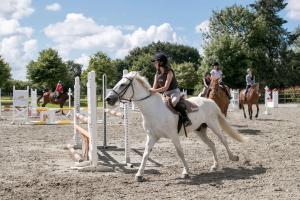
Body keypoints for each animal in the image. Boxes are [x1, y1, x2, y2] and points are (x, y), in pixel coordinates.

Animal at [106, 71, 248, 181]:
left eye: (122, 84)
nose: (108, 99)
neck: (153, 109)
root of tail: (210, 101)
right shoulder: (152, 137)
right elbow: (146, 154)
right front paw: (139, 175)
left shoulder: (173, 136)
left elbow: (180, 152)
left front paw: (186, 172)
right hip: (200, 131)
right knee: (212, 145)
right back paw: (215, 166)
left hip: (213, 125)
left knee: (223, 140)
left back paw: (233, 157)